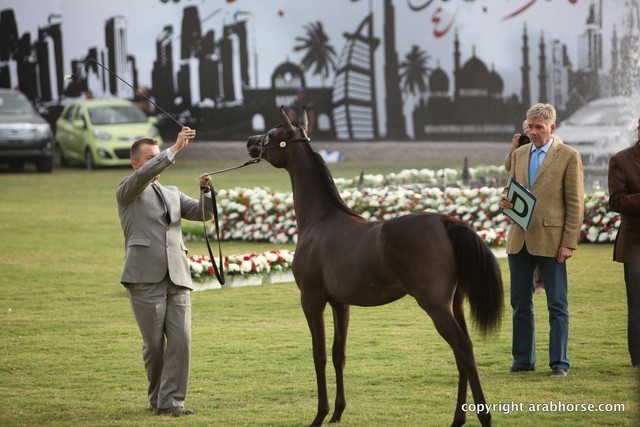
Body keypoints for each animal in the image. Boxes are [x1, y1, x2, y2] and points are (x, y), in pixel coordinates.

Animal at [245, 108, 503, 427]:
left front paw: (320, 414)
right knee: (462, 351)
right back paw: (458, 418)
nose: (250, 142)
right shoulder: (340, 303)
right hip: (455, 303)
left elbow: (319, 355)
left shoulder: (312, 300)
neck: (321, 219)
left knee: (463, 348)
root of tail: (446, 221)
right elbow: (338, 353)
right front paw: (338, 412)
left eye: (273, 132)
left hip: (435, 305)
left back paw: (484, 416)